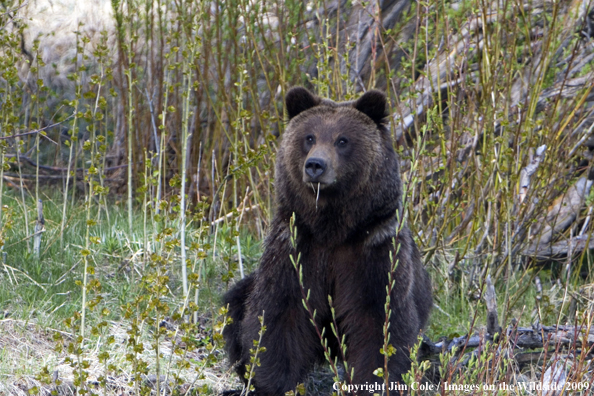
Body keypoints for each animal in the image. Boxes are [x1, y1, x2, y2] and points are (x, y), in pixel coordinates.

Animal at [222, 88, 430, 394]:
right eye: (309, 137)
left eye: (342, 140)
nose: (315, 165)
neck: (333, 228)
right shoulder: (297, 245)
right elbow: (278, 316)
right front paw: (274, 383)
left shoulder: (374, 248)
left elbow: (380, 322)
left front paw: (377, 379)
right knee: (235, 305)